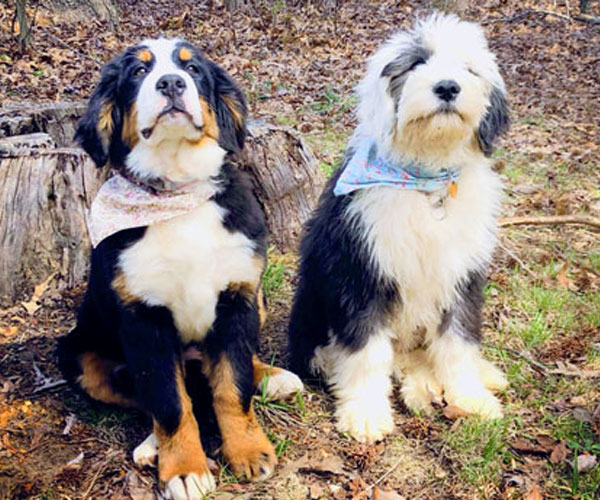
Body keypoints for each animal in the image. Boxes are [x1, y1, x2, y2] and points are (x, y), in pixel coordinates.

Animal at [290, 13, 510, 442]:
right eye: (417, 63)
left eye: (468, 67)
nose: (447, 87)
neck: (425, 182)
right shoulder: (361, 272)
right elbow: (366, 351)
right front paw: (365, 412)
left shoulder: (462, 275)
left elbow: (458, 340)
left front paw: (470, 396)